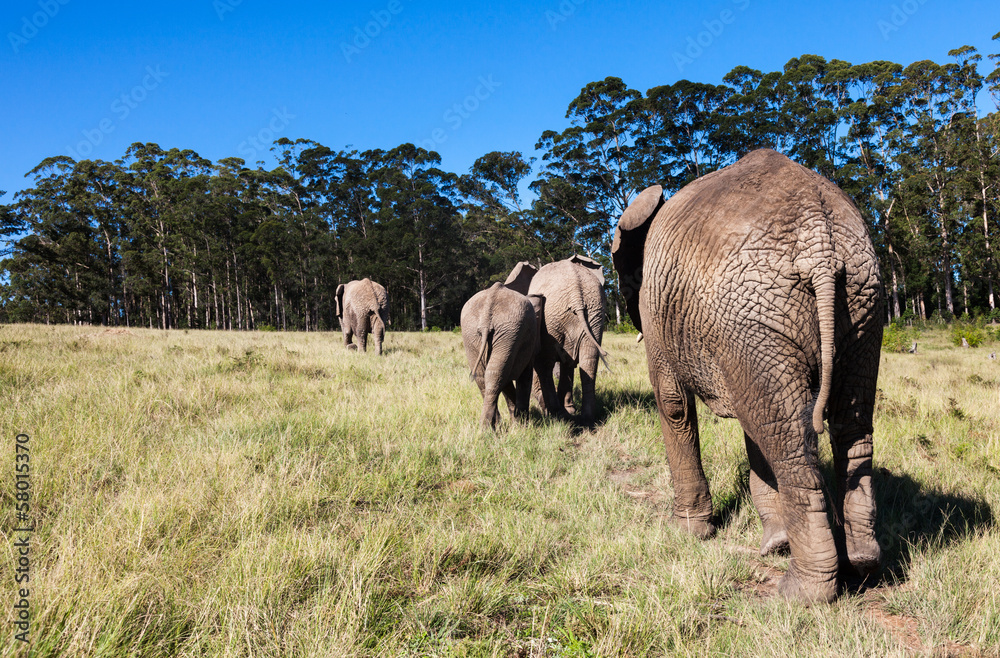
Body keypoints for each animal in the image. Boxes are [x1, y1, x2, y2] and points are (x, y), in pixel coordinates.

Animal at [461, 282, 542, 429]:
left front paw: (518, 421)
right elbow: (524, 377)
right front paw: (522, 424)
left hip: (479, 333)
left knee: (486, 376)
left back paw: (488, 428)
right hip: (505, 331)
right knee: (495, 375)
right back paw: (490, 428)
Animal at [505, 255, 609, 425]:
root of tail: (576, 293)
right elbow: (569, 363)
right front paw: (571, 410)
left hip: (552, 317)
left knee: (544, 365)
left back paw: (557, 414)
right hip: (594, 312)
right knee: (588, 360)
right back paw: (586, 419)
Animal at [612, 149, 883, 604]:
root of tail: (820, 243)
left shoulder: (658, 308)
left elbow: (674, 404)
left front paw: (688, 533)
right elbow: (754, 424)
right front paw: (775, 542)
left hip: (756, 311)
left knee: (789, 440)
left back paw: (801, 594)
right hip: (858, 301)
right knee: (845, 427)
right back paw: (862, 564)